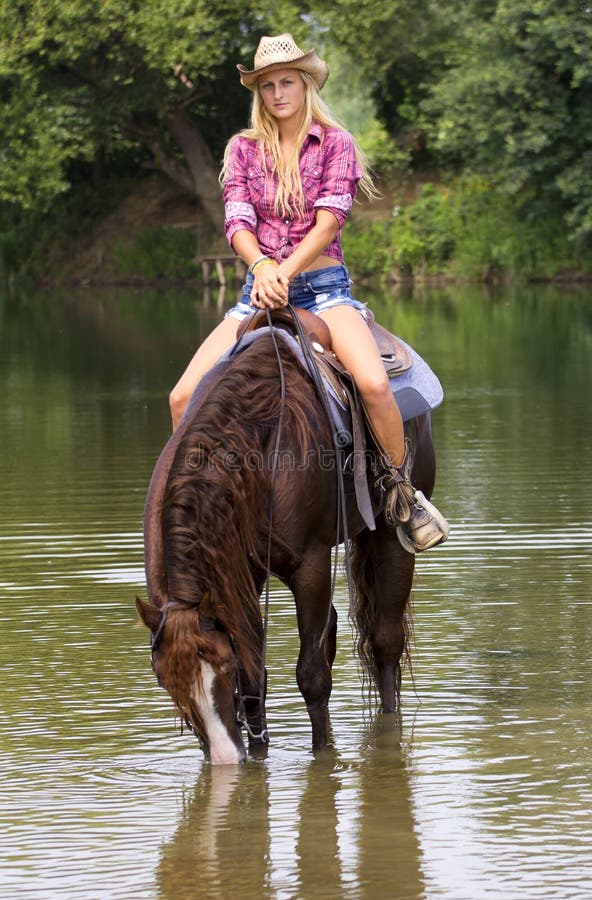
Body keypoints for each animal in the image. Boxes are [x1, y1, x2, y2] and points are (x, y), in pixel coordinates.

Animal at [136, 320, 438, 764]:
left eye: (221, 667)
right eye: (165, 681)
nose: (225, 759)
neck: (257, 452)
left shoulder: (309, 566)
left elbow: (311, 675)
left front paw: (323, 755)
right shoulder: (241, 576)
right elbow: (255, 675)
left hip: (390, 535)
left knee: (385, 643)